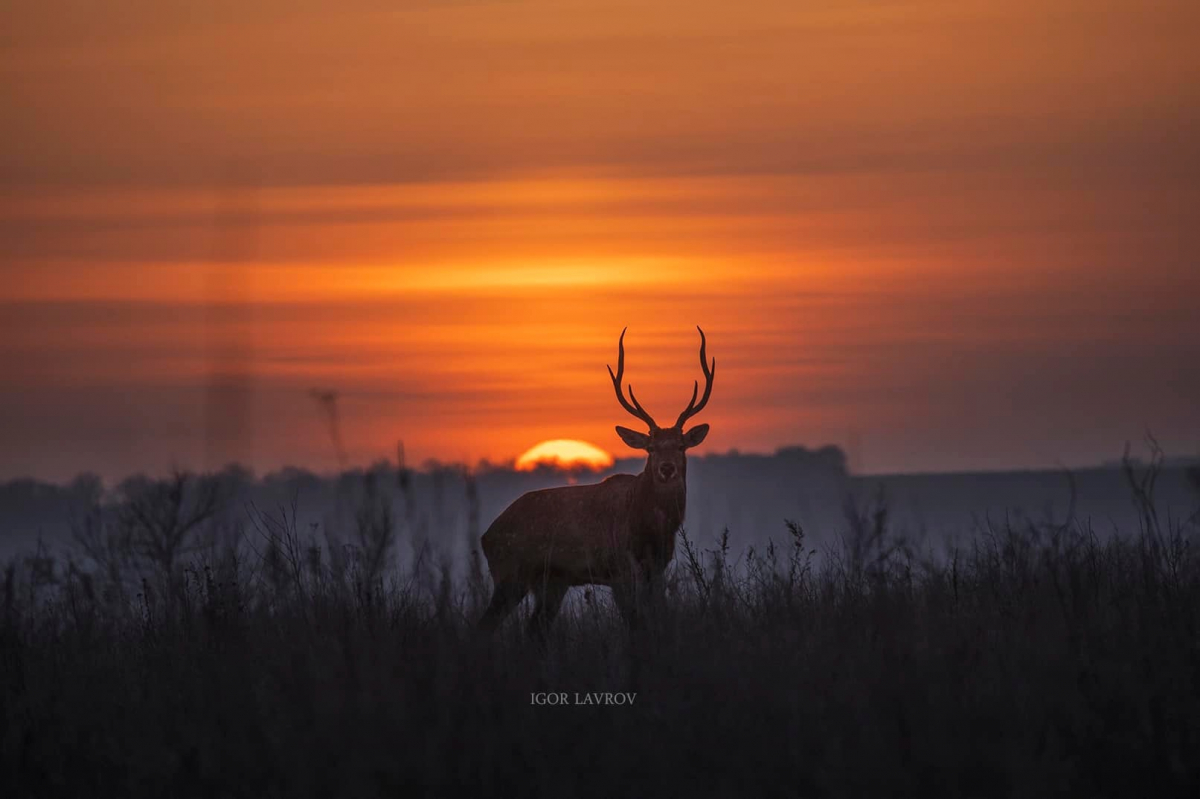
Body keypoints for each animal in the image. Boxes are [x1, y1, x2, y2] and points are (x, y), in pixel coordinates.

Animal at [472, 323, 710, 633]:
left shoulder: (655, 569)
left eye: (681, 446)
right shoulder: (620, 567)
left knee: (534, 628)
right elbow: (635, 622)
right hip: (511, 573)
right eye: (651, 447)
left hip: (551, 581)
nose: (667, 468)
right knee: (484, 625)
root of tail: (486, 537)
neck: (650, 526)